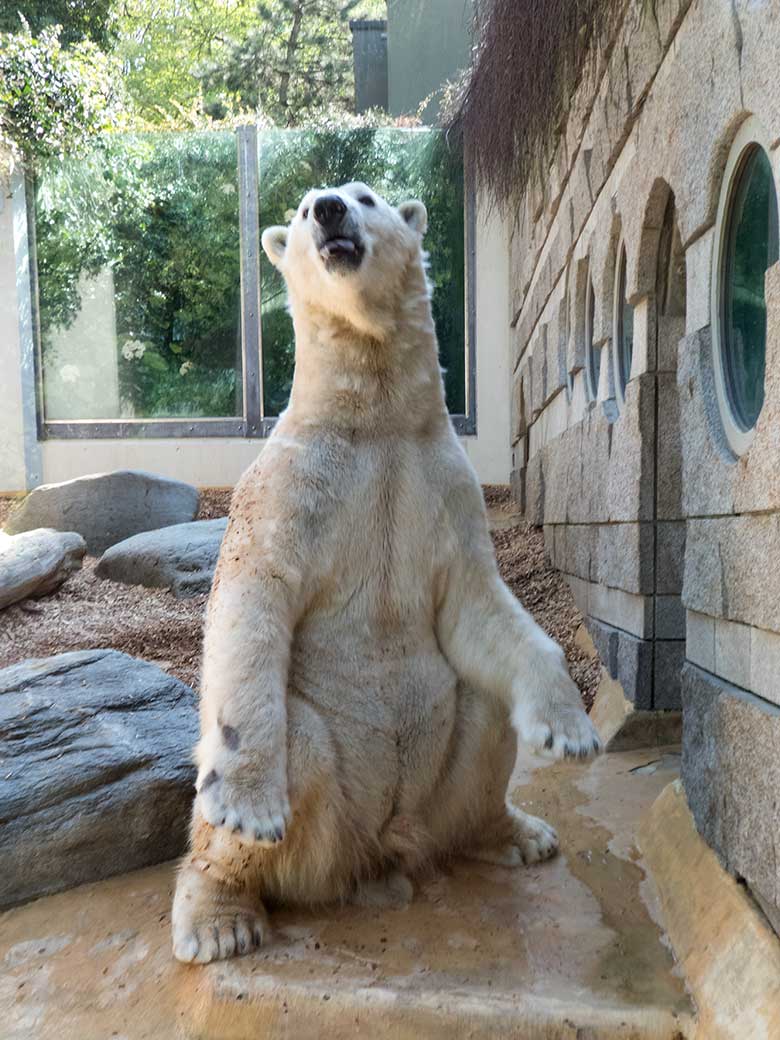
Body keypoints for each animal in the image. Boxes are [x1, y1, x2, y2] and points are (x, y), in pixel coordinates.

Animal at [170, 180, 603, 965]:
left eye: (365, 195)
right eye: (303, 208)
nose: (330, 210)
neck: (373, 422)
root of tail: (372, 852)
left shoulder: (444, 484)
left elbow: (478, 602)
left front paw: (570, 731)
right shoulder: (285, 488)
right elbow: (251, 607)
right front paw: (246, 806)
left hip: (433, 790)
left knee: (480, 707)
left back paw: (515, 833)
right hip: (323, 817)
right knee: (301, 744)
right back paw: (222, 917)